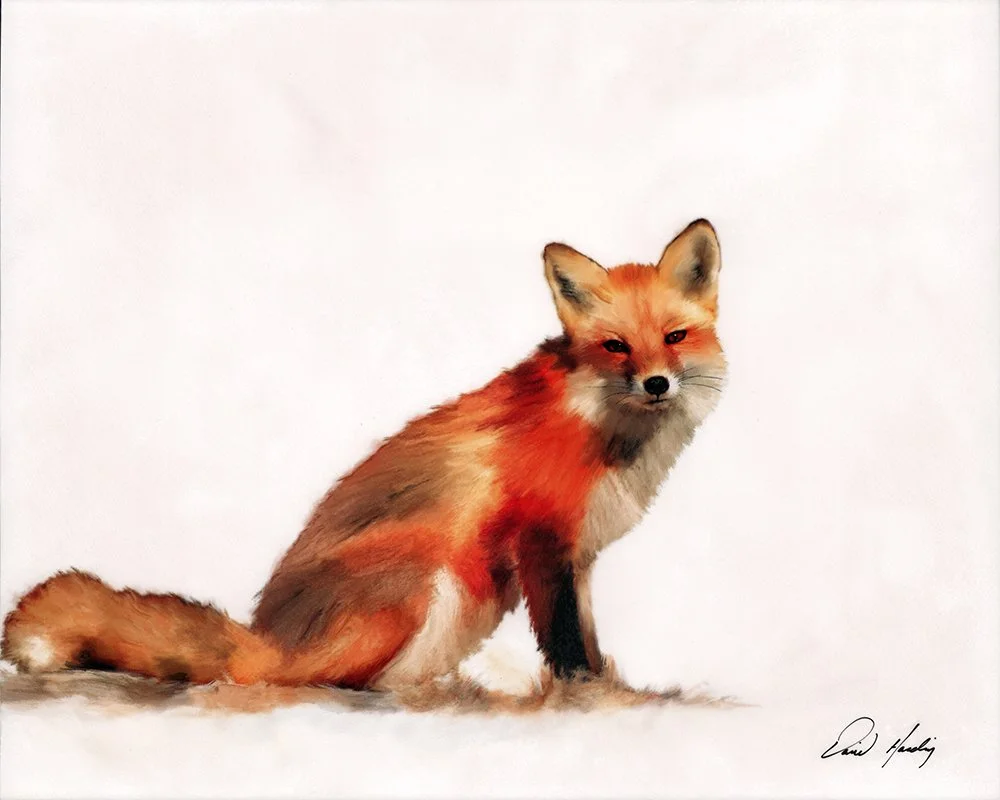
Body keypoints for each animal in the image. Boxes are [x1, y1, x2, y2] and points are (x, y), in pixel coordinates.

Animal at [2, 219, 727, 694]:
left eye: (674, 337)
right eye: (616, 346)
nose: (656, 384)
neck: (597, 423)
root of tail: (264, 639)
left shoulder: (577, 556)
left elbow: (587, 635)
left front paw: (606, 681)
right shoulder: (542, 542)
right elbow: (567, 640)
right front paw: (587, 691)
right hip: (430, 574)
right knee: (327, 681)